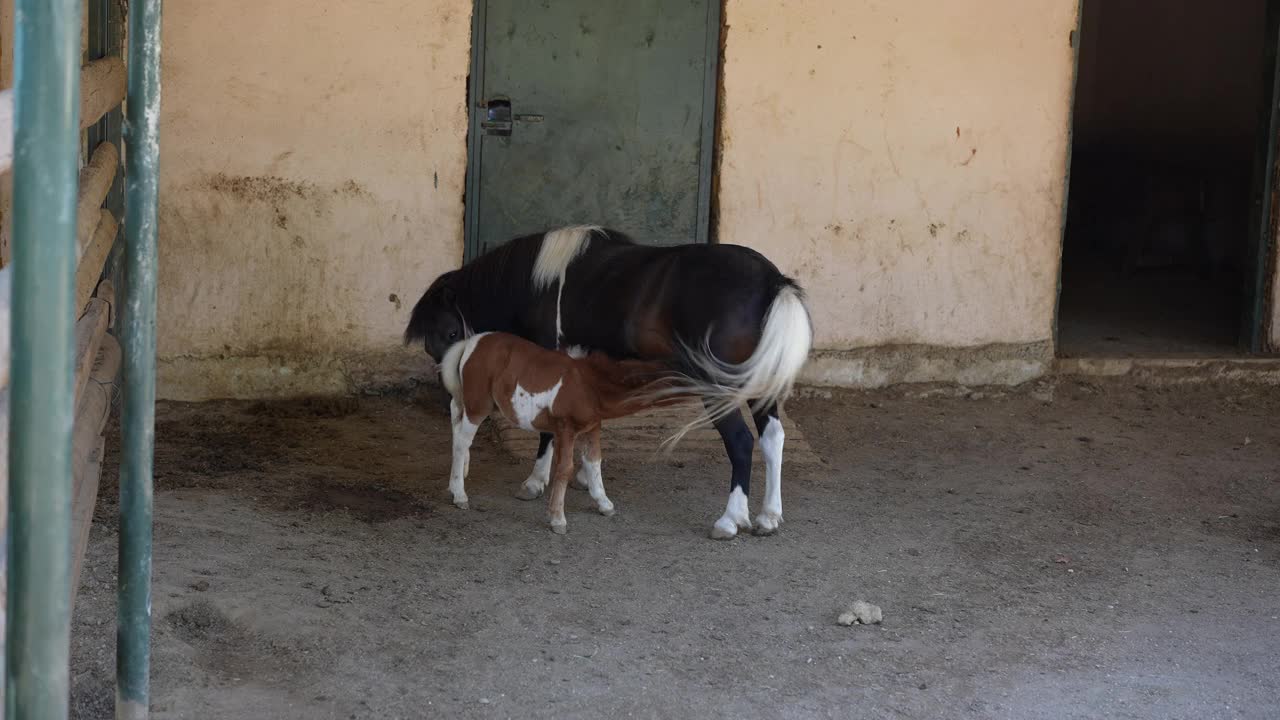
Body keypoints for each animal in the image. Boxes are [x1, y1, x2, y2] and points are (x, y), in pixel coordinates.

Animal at [437, 330, 680, 527]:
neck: (588, 385)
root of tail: (470, 342)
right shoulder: (566, 429)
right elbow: (564, 468)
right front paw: (557, 519)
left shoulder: (592, 428)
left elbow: (594, 462)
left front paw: (604, 504)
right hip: (479, 405)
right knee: (462, 441)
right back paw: (459, 494)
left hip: (470, 401)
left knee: (456, 417)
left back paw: (458, 478)